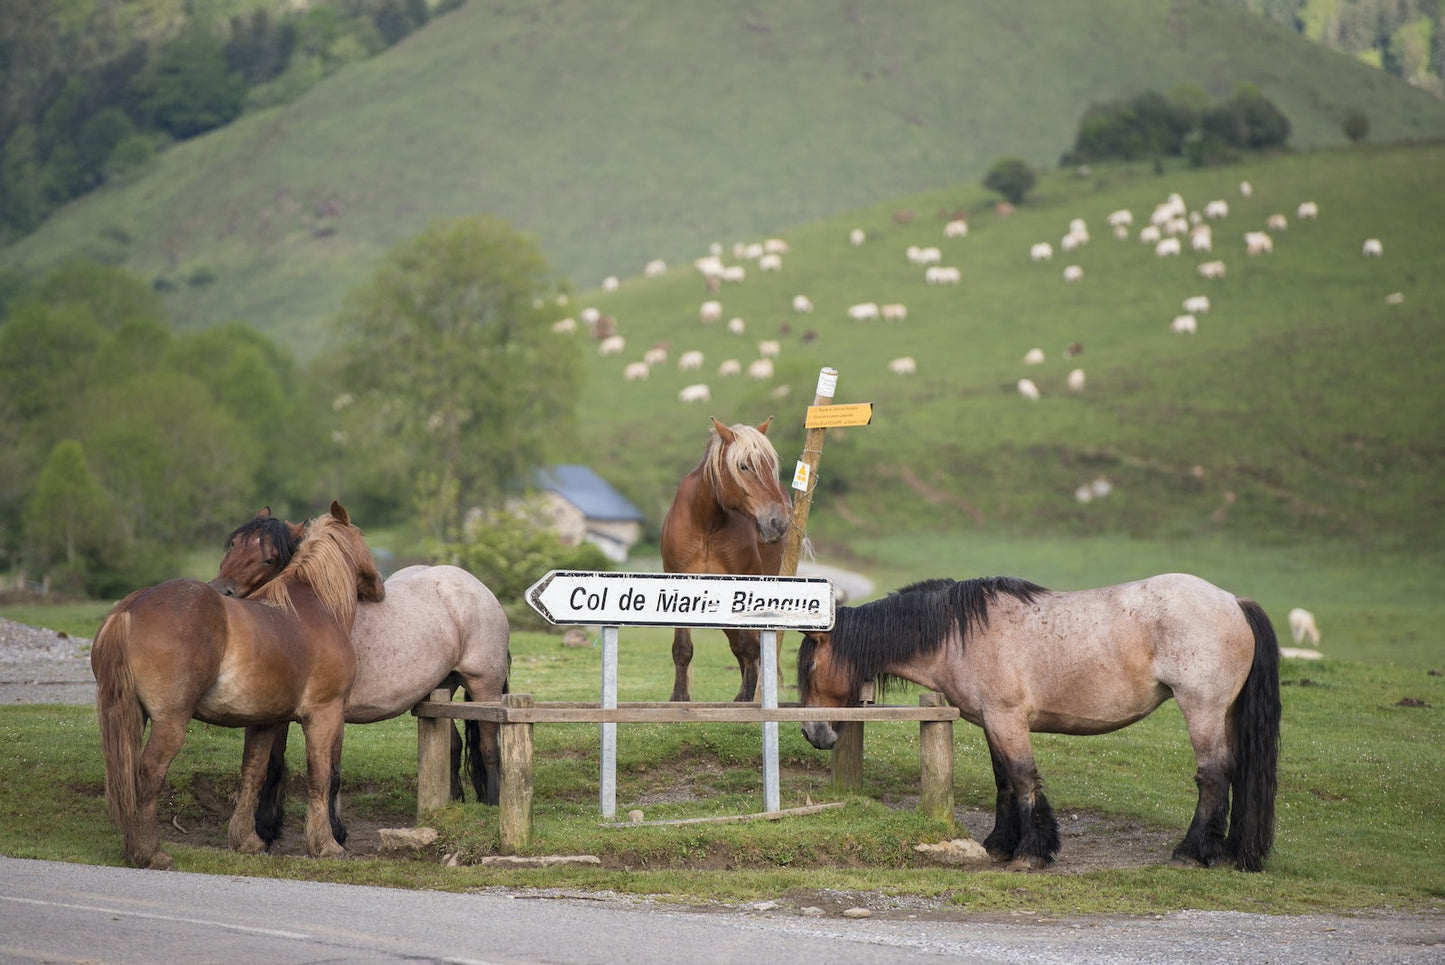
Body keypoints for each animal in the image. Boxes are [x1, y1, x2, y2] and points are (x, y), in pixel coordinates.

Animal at [88, 502, 384, 872]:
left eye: (269, 558)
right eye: (362, 536)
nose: (380, 586)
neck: (315, 606)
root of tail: (132, 607)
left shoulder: (265, 721)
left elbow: (254, 773)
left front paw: (247, 839)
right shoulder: (324, 713)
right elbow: (320, 775)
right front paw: (325, 845)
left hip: (129, 714)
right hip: (170, 722)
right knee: (149, 772)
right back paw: (149, 852)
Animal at [661, 416, 797, 702]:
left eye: (770, 465)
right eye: (743, 466)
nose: (778, 521)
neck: (706, 526)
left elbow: (750, 648)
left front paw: (747, 697)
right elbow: (682, 648)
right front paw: (679, 697)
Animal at [797, 572, 1283, 872]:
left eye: (809, 667)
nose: (811, 733)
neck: (959, 634)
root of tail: (1232, 601)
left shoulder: (1007, 719)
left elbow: (1023, 778)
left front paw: (1031, 852)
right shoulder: (991, 722)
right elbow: (1004, 783)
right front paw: (999, 844)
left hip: (1202, 710)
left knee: (1214, 777)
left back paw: (1190, 852)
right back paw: (1230, 853)